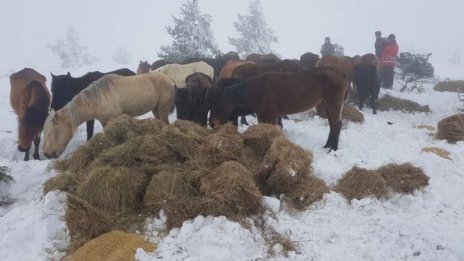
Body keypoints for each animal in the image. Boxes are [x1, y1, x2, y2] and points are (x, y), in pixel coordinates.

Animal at [42, 70, 176, 157]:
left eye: (53, 133)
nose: (46, 153)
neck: (98, 99)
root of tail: (168, 78)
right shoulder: (104, 122)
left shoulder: (114, 120)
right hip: (155, 109)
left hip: (163, 108)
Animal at [210, 67, 348, 150]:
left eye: (220, 103)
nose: (212, 124)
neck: (259, 90)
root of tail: (341, 74)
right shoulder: (265, 116)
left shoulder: (269, 116)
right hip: (326, 104)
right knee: (332, 125)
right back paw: (327, 146)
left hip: (333, 104)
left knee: (337, 125)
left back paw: (333, 149)